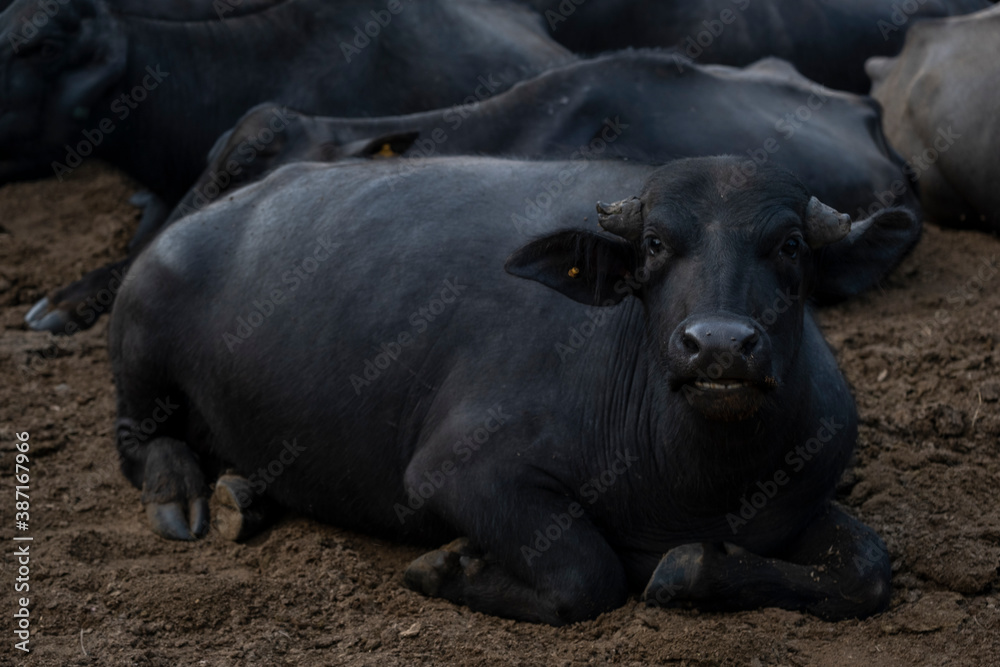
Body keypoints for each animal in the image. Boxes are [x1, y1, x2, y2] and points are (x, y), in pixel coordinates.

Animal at [109, 155, 917, 624]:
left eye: (790, 244)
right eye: (656, 243)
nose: (718, 345)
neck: (696, 480)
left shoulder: (800, 494)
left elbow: (866, 572)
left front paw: (691, 568)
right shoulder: (460, 469)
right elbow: (587, 575)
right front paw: (448, 565)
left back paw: (245, 495)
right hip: (138, 338)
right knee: (137, 437)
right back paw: (183, 496)